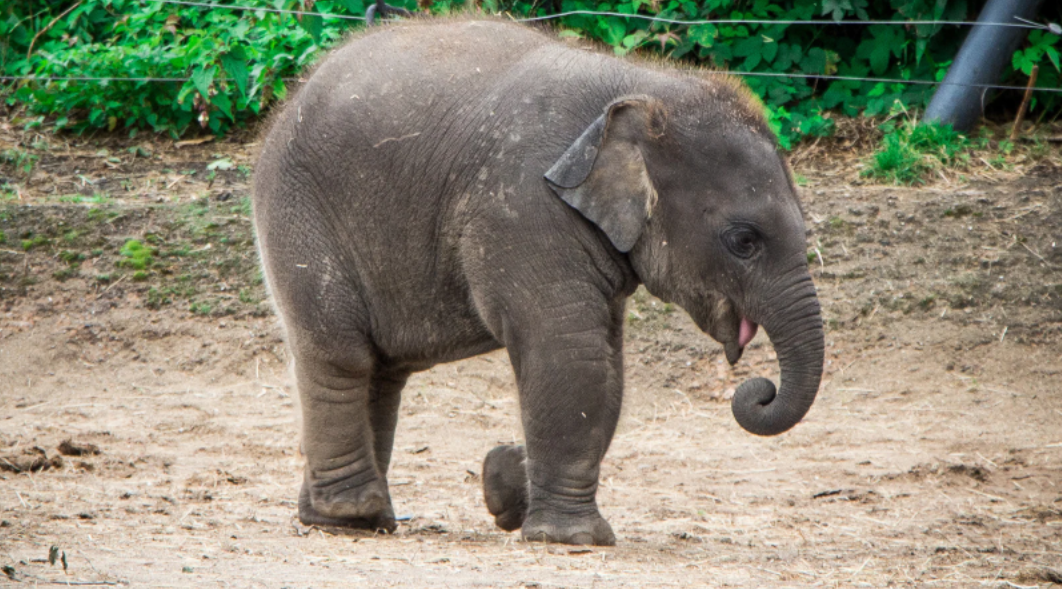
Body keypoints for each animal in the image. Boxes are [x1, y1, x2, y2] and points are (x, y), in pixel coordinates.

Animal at [252, 16, 824, 547]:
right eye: (743, 240)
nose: (759, 390)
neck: (646, 89)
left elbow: (607, 366)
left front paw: (504, 482)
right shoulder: (524, 207)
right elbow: (571, 352)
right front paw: (573, 538)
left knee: (383, 371)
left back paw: (348, 518)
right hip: (298, 214)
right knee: (341, 354)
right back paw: (352, 516)